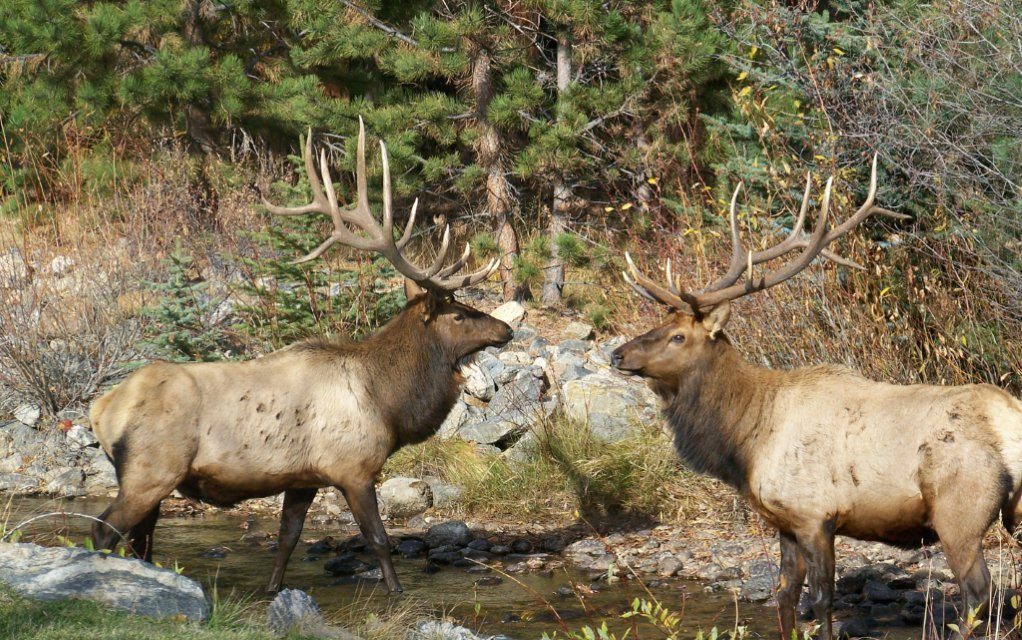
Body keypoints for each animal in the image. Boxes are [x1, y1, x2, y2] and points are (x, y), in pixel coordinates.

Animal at [89, 120, 510, 592]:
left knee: (139, 538)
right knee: (104, 529)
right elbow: (378, 539)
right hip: (150, 469)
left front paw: (272, 589)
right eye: (458, 314)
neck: (387, 403)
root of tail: (100, 408)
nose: (506, 329)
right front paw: (396, 592)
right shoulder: (353, 467)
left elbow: (287, 538)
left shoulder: (303, 478)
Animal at [609, 157, 1021, 633]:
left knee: (979, 595)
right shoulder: (783, 521)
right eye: (659, 324)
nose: (617, 353)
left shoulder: (815, 515)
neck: (746, 442)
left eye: (677, 336)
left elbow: (822, 600)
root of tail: (1008, 423)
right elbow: (785, 595)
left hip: (959, 513)